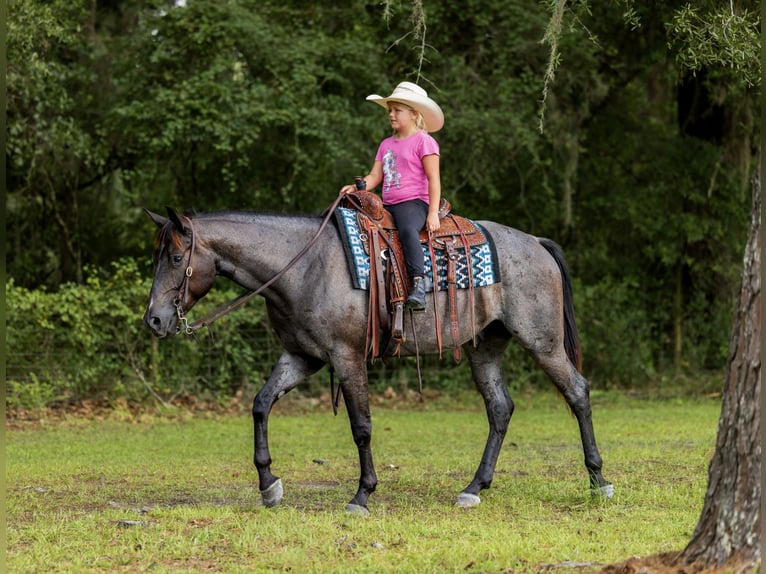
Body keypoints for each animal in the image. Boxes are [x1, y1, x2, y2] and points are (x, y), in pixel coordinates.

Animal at [143, 206, 613, 515]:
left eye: (177, 258)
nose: (154, 320)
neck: (302, 268)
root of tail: (536, 242)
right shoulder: (301, 356)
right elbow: (260, 404)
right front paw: (268, 485)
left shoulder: (346, 357)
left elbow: (362, 427)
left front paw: (362, 495)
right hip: (485, 345)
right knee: (500, 408)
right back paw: (474, 488)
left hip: (542, 341)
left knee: (577, 392)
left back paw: (598, 480)